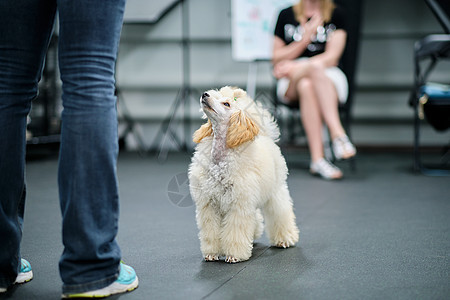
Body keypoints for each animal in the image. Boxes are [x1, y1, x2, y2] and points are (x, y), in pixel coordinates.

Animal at [189, 85, 298, 262]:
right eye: (214, 95)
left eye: (226, 104)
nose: (205, 95)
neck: (221, 158)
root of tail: (266, 137)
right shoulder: (209, 204)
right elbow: (210, 231)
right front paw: (211, 253)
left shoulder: (238, 205)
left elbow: (235, 231)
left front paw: (234, 256)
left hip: (275, 191)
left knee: (280, 212)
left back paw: (285, 239)